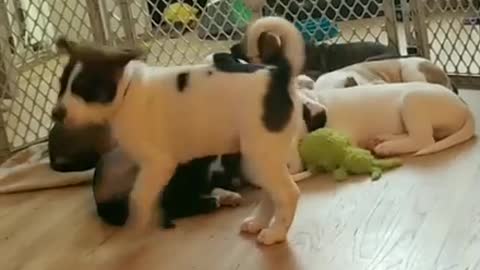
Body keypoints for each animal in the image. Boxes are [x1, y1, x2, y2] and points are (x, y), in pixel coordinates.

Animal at [51, 16, 308, 245]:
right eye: (62, 85)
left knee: (288, 193)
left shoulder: (157, 164)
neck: (127, 91)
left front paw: (136, 226)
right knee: (272, 194)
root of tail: (277, 72)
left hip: (259, 157)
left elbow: (139, 197)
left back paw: (275, 234)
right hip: (259, 161)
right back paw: (258, 223)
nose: (56, 114)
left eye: (85, 89)